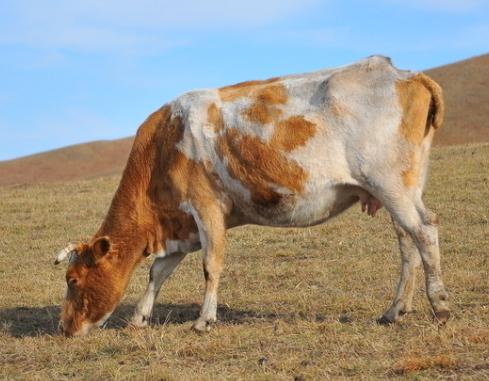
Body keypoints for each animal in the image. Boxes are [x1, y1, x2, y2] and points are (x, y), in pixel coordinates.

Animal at [53, 55, 450, 336]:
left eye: (73, 280)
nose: (64, 327)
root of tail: (404, 73)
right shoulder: (181, 224)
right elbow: (158, 271)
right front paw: (139, 317)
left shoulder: (206, 207)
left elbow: (210, 264)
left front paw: (204, 320)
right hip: (401, 189)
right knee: (407, 242)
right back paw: (394, 311)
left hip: (389, 183)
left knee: (424, 231)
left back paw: (440, 306)